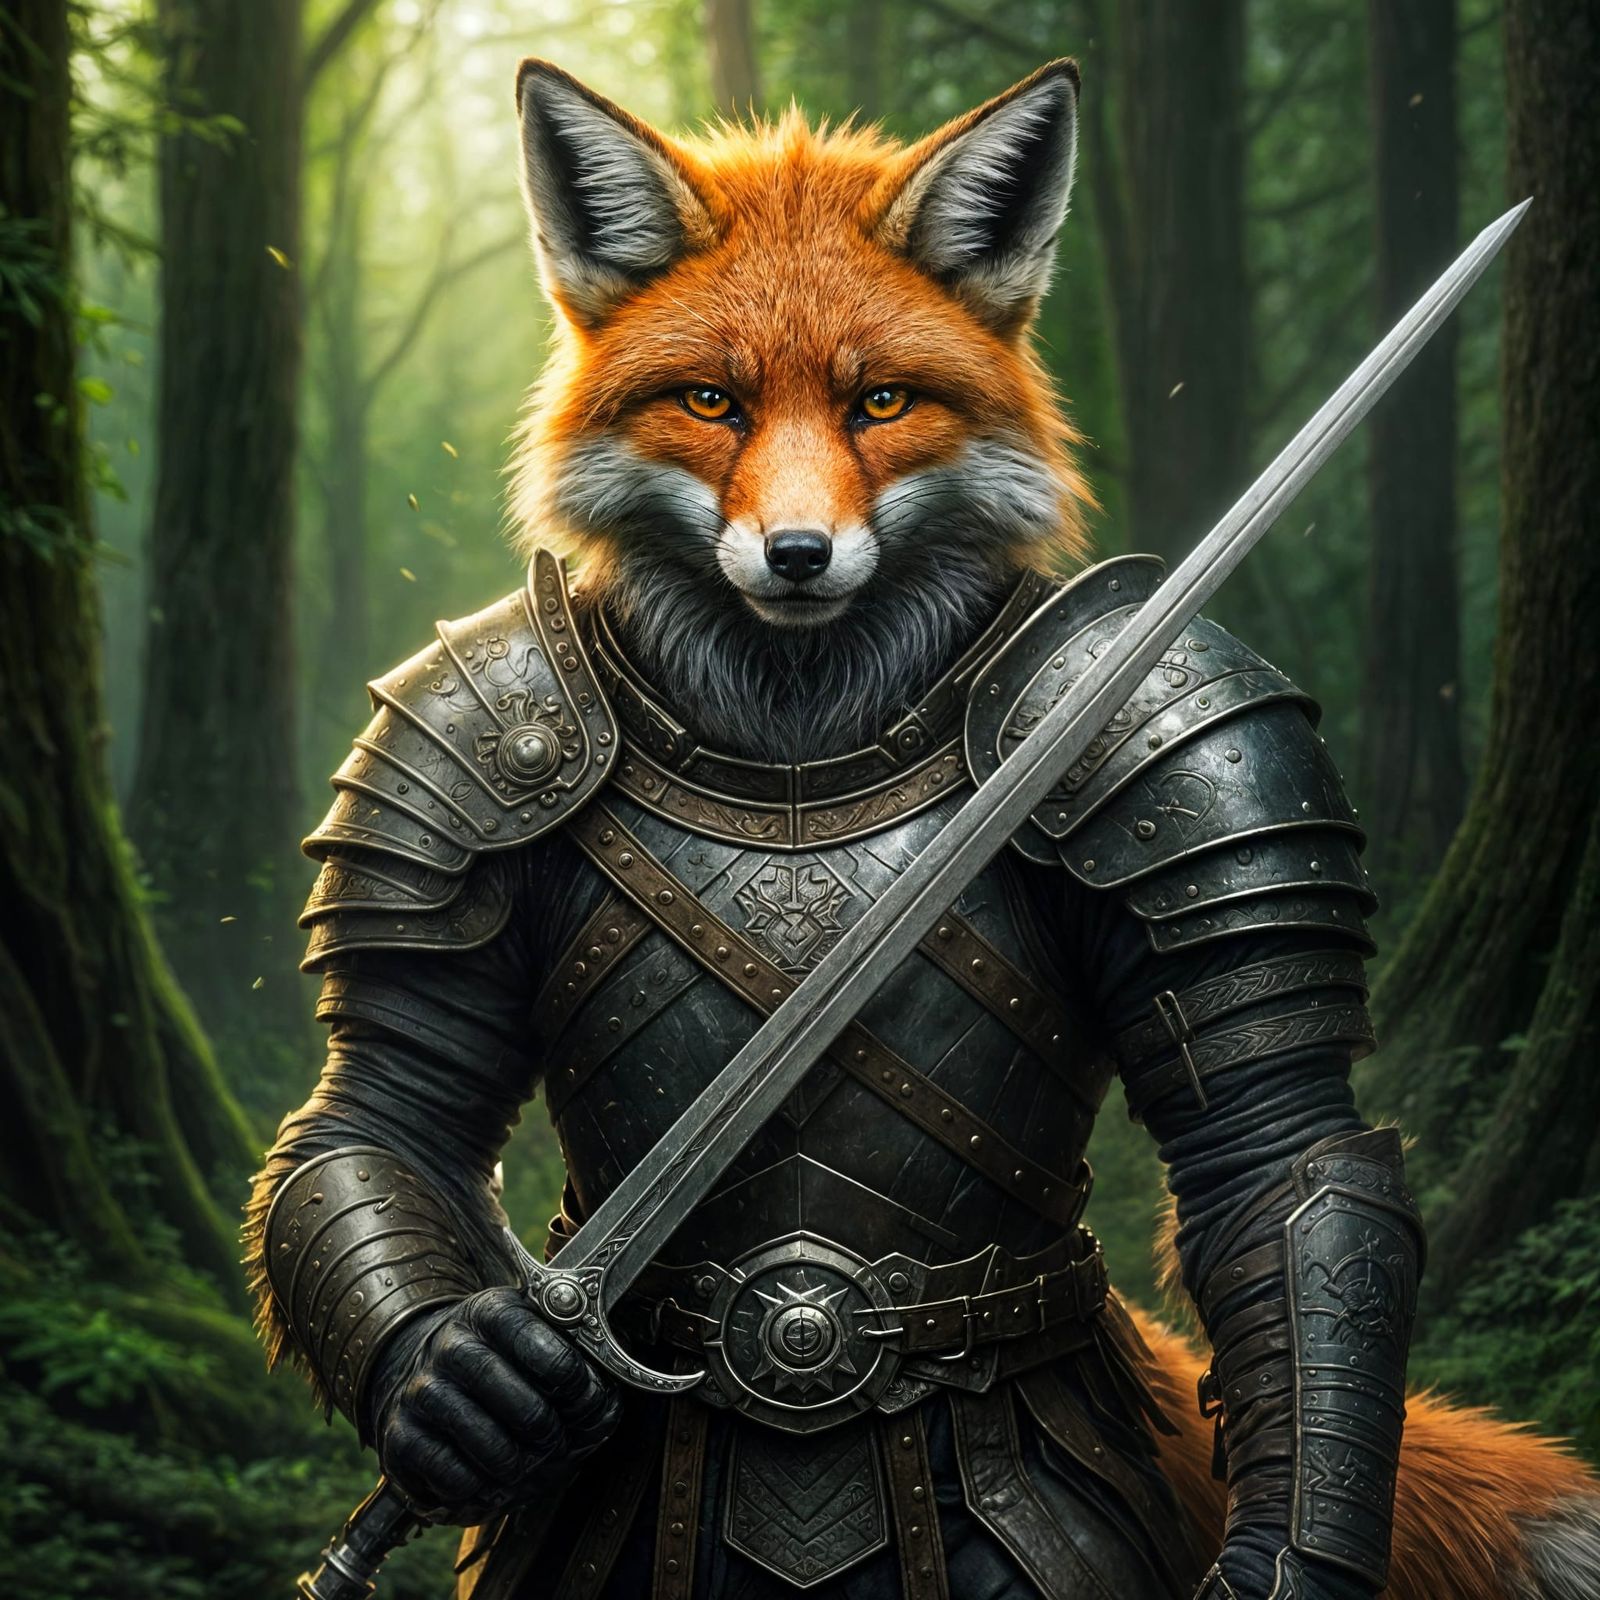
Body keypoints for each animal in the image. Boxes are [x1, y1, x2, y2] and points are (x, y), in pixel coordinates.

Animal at [498, 56, 1600, 1598]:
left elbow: (1281, 1155)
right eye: (710, 401)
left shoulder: (1199, 753)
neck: (798, 719)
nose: (797, 557)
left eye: (882, 400)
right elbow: (373, 1113)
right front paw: (460, 1387)